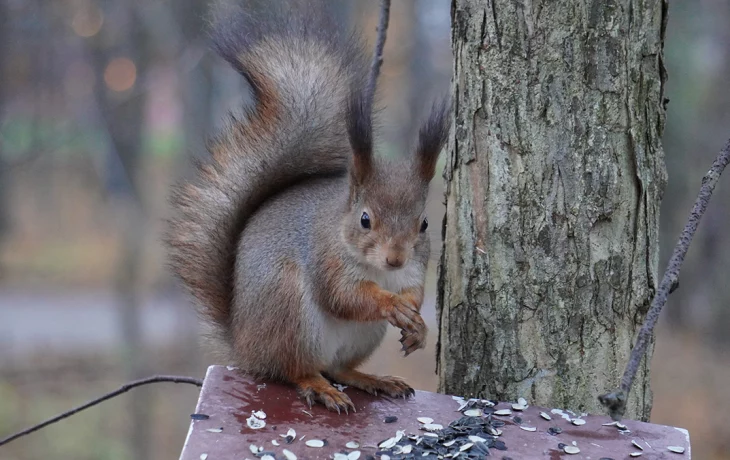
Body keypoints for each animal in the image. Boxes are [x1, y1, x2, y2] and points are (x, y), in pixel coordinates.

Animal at [166, 0, 450, 413]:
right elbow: (344, 296)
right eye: (365, 219)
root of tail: (245, 347)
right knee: (295, 369)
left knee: (339, 367)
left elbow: (414, 291)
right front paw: (391, 304)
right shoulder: (326, 258)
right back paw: (319, 387)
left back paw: (374, 380)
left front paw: (418, 325)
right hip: (289, 311)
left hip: (360, 337)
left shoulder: (414, 266)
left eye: (425, 224)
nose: (395, 259)